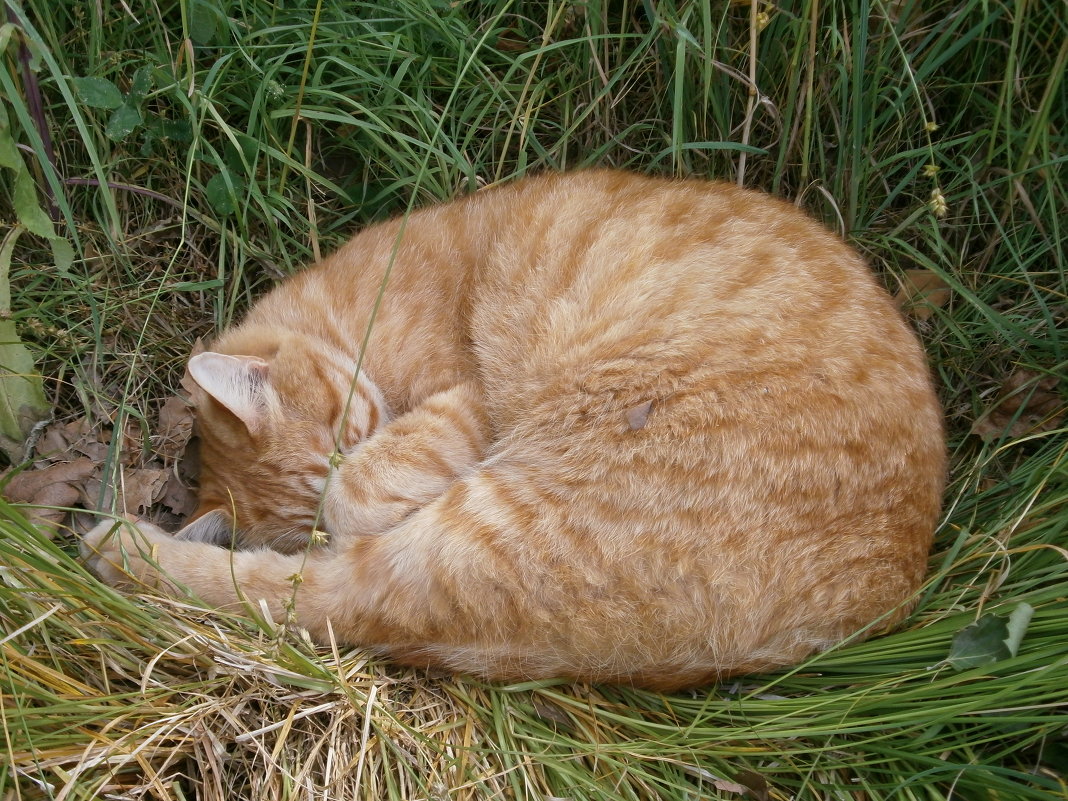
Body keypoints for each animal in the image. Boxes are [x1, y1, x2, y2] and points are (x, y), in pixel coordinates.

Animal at [81, 167, 944, 692]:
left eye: (346, 440)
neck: (350, 316)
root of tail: (883, 590)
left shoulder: (468, 398)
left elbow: (354, 492)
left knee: (332, 599)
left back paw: (111, 548)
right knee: (326, 600)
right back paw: (118, 550)